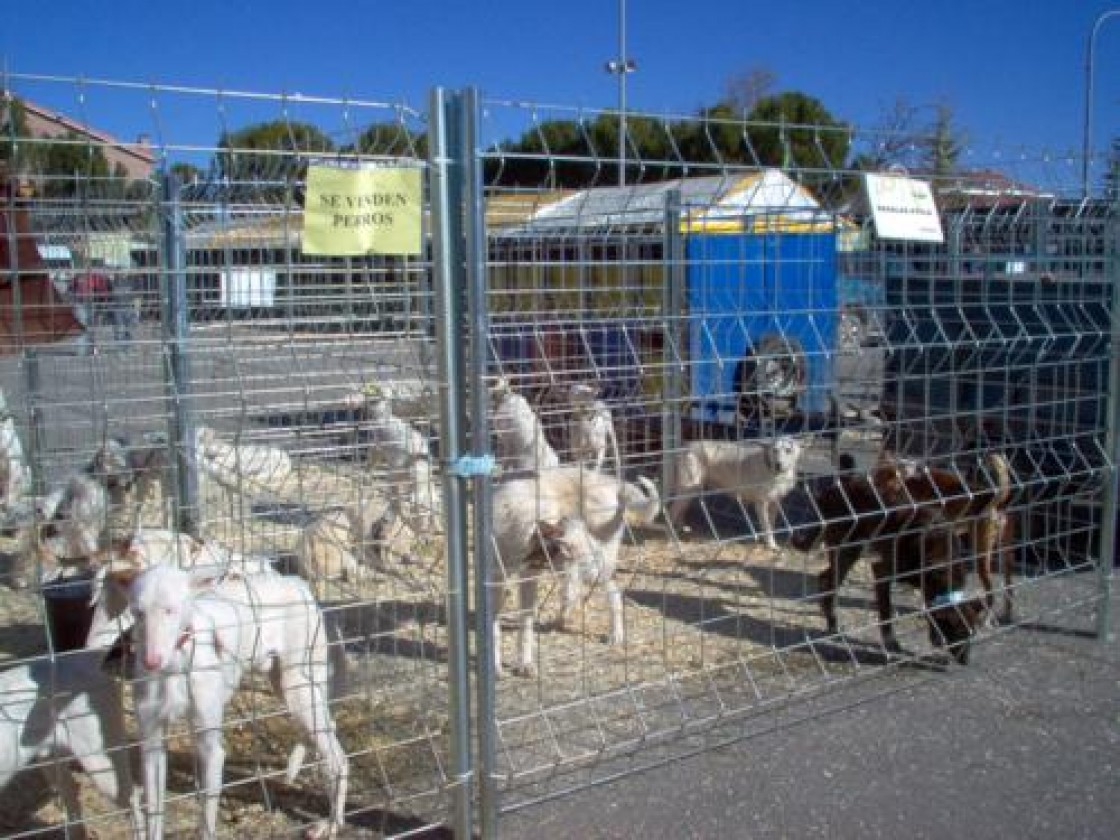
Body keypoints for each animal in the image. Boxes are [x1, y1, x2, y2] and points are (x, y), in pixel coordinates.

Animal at [124, 566, 347, 840]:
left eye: (170, 610)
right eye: (138, 612)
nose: (151, 661)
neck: (175, 666)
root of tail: (295, 582)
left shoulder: (210, 748)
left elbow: (206, 820)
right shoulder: (152, 746)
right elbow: (154, 815)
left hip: (298, 691)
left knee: (338, 760)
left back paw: (333, 822)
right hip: (288, 687)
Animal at [667, 434, 801, 553]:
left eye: (788, 450)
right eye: (775, 450)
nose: (778, 464)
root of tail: (686, 447)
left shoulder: (775, 502)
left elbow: (771, 525)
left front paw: (769, 542)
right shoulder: (761, 503)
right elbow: (767, 527)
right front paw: (771, 545)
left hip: (690, 492)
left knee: (680, 510)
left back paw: (682, 528)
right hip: (689, 490)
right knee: (672, 512)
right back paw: (673, 537)